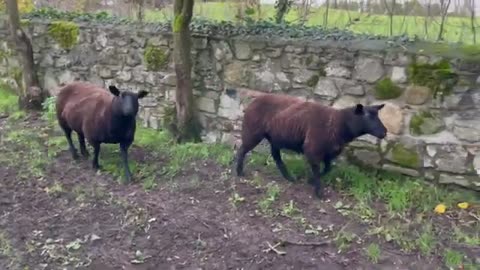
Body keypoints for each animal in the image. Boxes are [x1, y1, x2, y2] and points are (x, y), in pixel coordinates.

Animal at [234, 93, 388, 198]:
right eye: (368, 117)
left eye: (378, 115)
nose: (384, 132)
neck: (339, 123)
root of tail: (254, 100)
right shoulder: (313, 148)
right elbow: (317, 169)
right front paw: (319, 192)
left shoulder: (327, 152)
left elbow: (327, 168)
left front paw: (311, 181)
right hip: (253, 131)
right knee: (242, 150)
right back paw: (239, 172)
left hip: (275, 137)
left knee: (276, 156)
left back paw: (289, 177)